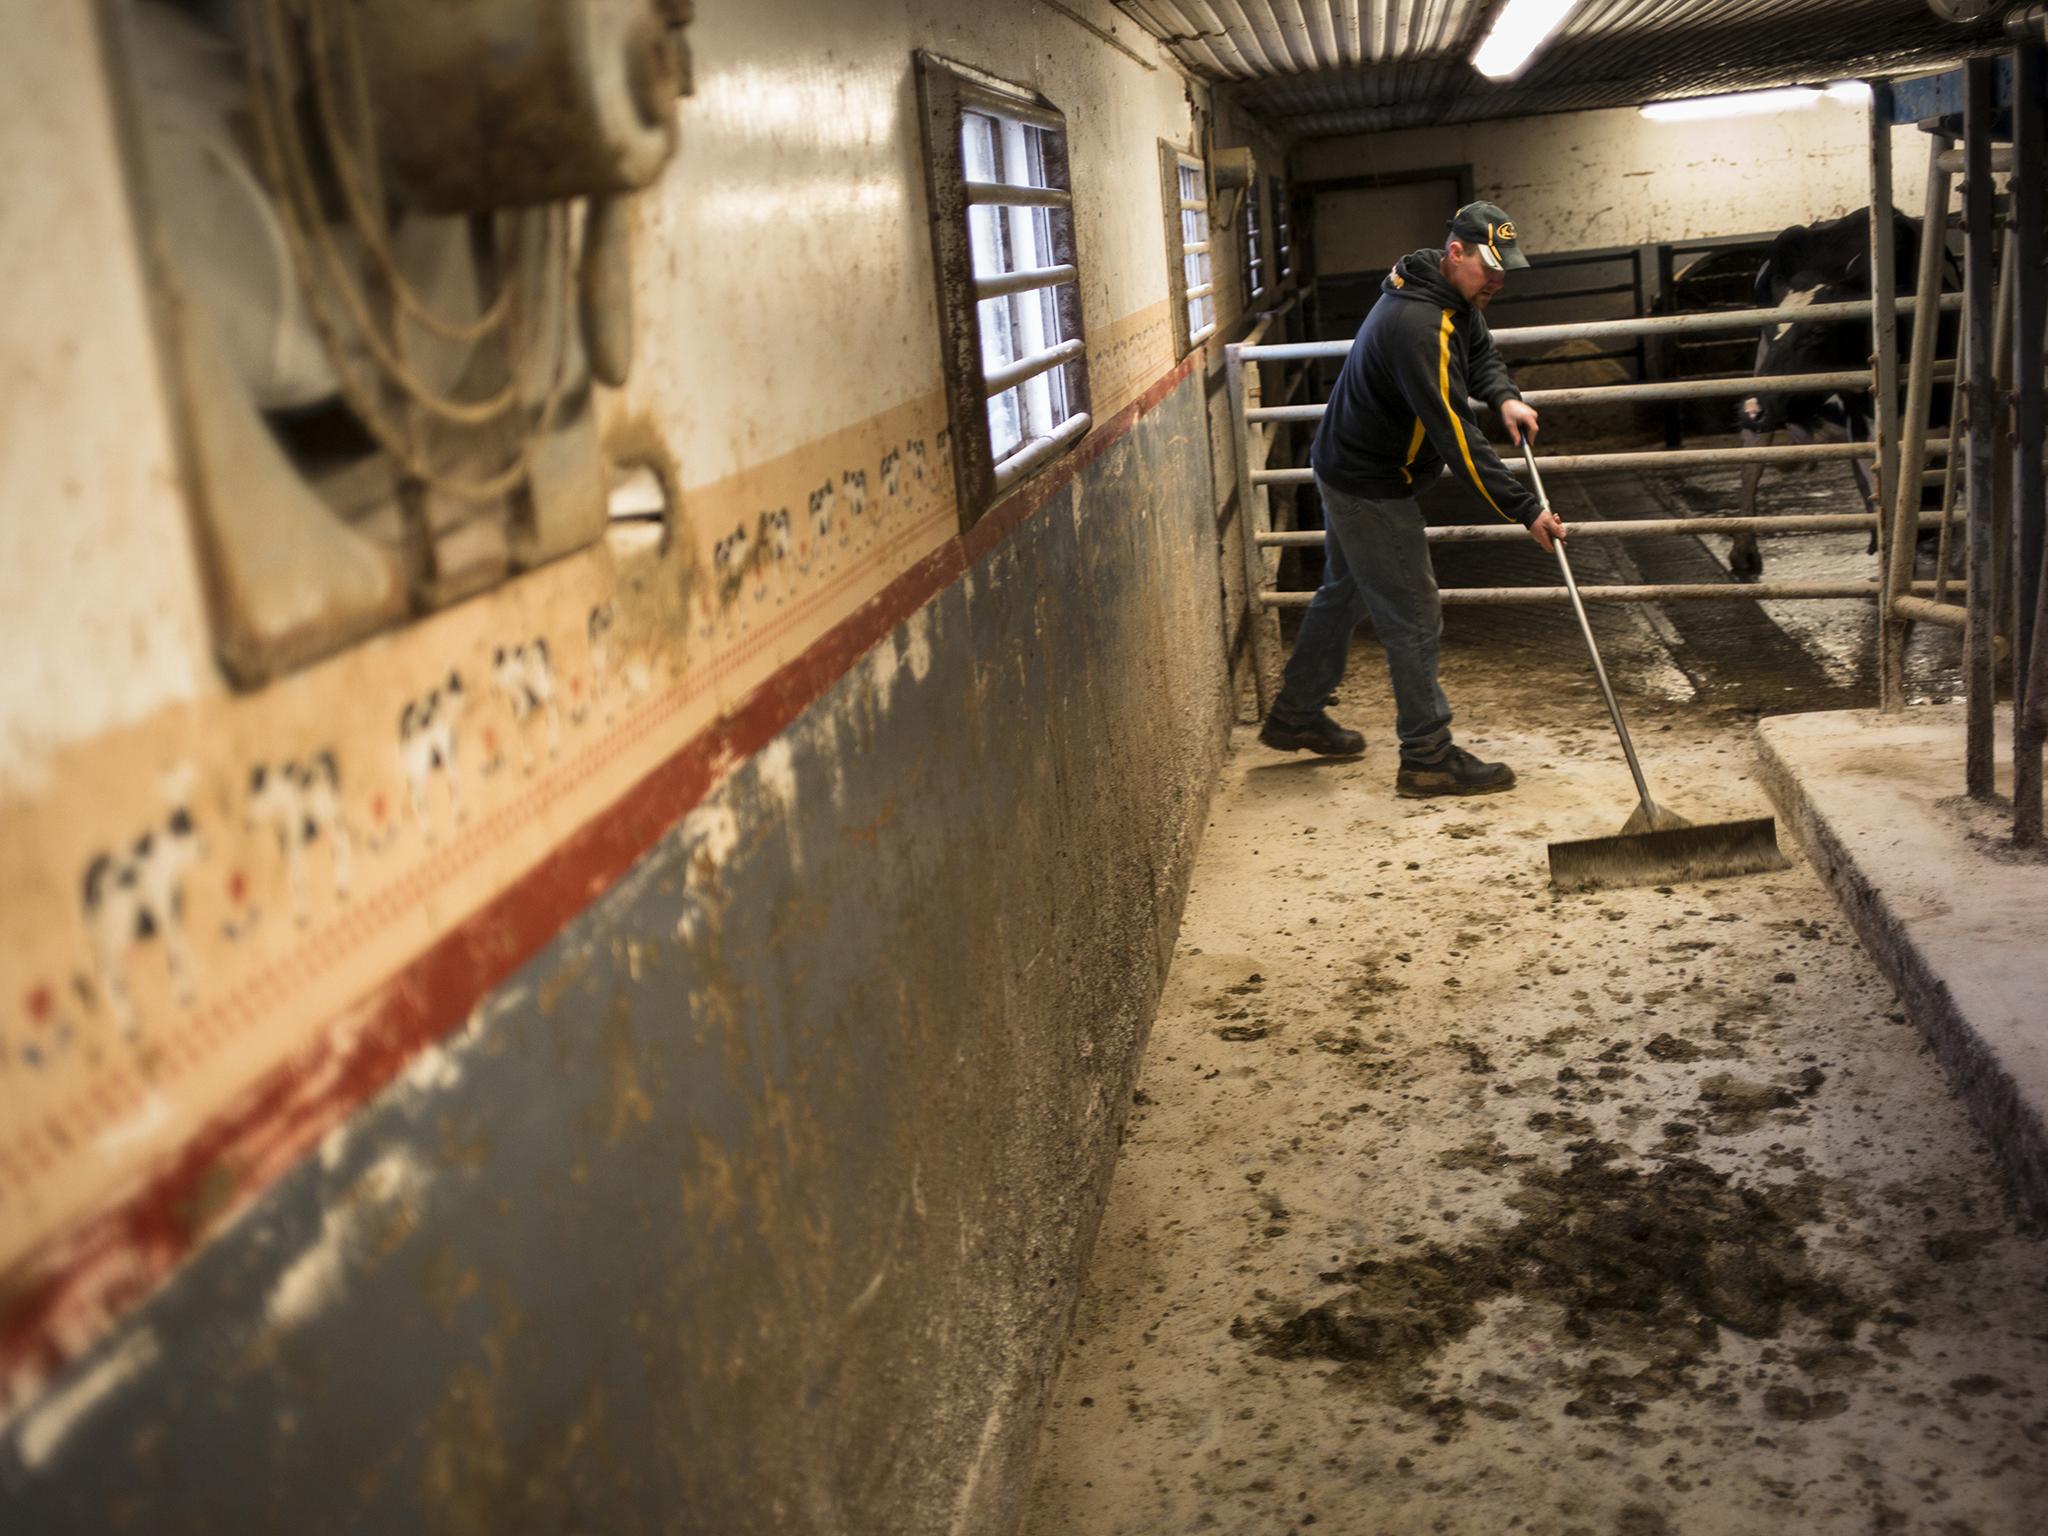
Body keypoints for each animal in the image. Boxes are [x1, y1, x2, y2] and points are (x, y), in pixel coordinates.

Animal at [1736, 207, 1957, 581]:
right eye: (1770, 327)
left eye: (1820, 331)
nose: (1753, 408)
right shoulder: (1866, 426)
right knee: (1751, 465)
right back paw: (1744, 554)